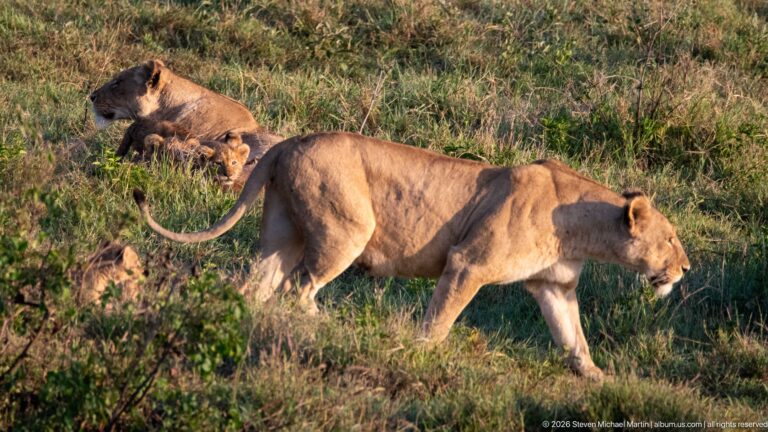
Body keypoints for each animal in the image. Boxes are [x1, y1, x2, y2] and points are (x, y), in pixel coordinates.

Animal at [131, 132, 690, 380]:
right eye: (670, 239)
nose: (685, 269)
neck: (579, 225)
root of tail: (290, 140)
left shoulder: (555, 285)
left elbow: (573, 335)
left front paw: (596, 378)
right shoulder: (468, 262)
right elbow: (440, 319)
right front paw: (419, 355)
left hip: (282, 229)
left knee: (259, 283)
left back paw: (247, 320)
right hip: (347, 229)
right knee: (300, 288)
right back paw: (330, 329)